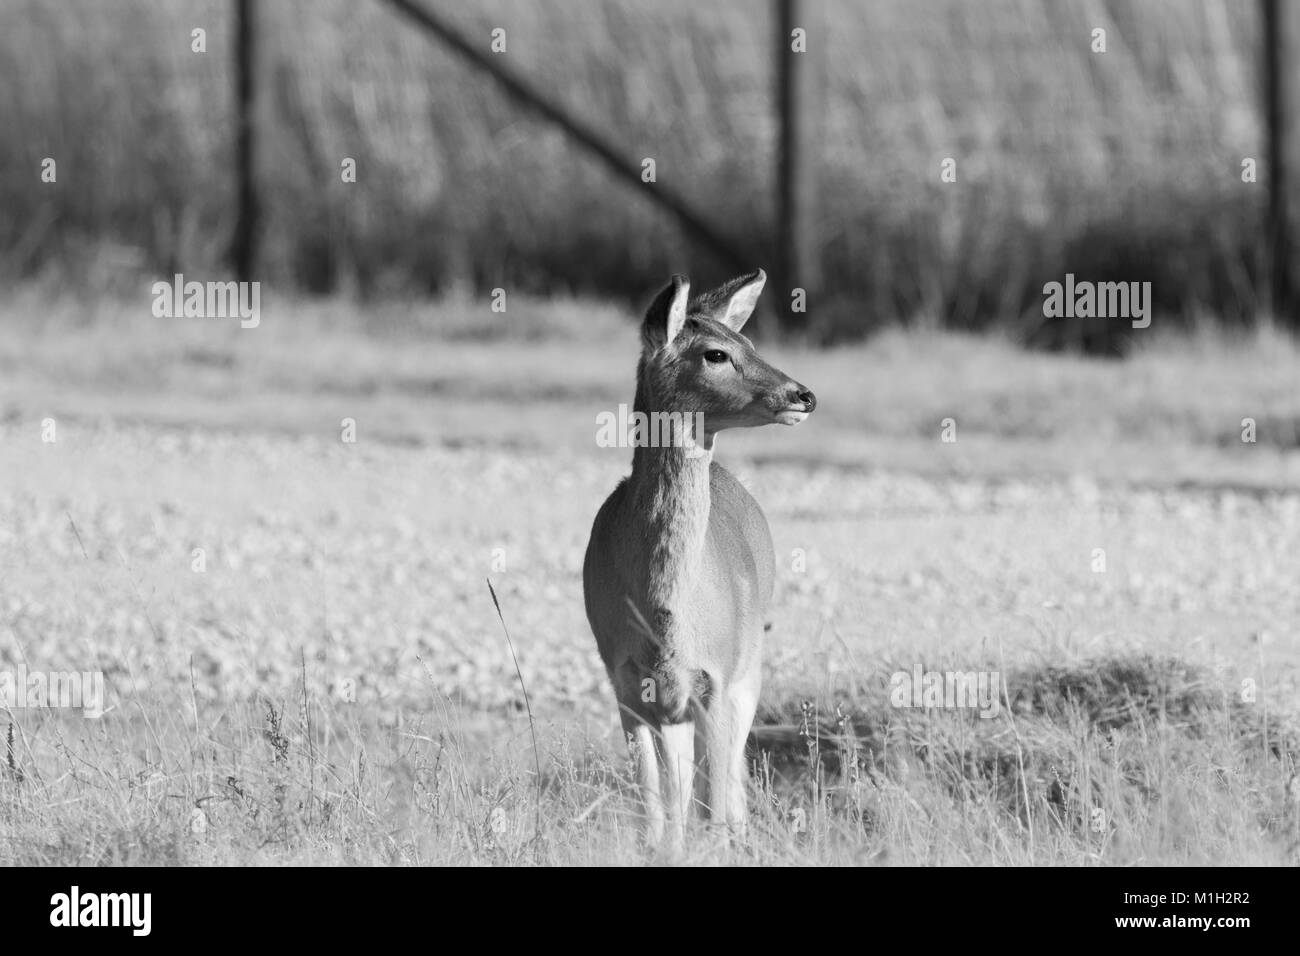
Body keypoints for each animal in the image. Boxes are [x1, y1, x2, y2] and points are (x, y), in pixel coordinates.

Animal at [587, 269, 816, 853]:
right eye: (716, 353)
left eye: (750, 342)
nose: (803, 394)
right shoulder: (627, 684)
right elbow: (655, 818)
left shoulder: (716, 679)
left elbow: (712, 813)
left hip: (748, 670)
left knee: (730, 789)